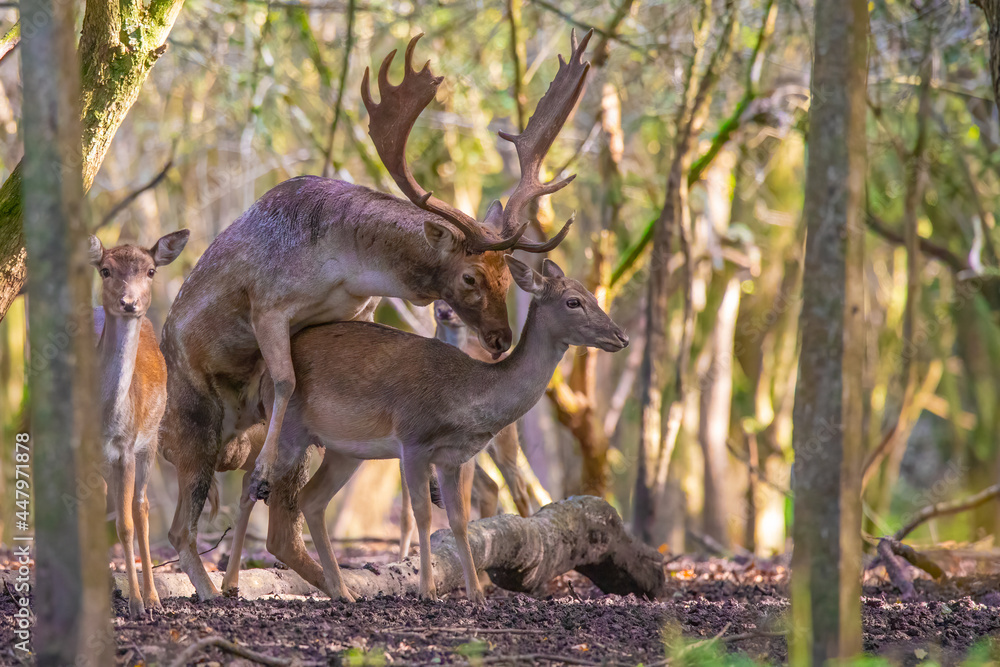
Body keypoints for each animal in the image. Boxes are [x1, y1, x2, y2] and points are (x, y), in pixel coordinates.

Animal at [89, 230, 190, 619]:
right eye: (105, 269)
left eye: (149, 271)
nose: (129, 302)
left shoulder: (127, 448)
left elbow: (127, 523)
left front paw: (135, 602)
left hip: (151, 441)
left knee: (141, 508)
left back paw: (152, 598)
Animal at [158, 29, 593, 601]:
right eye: (470, 278)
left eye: (507, 278)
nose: (500, 339)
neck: (345, 263)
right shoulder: (267, 302)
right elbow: (284, 379)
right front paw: (262, 471)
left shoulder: (355, 312)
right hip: (193, 420)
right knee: (181, 524)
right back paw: (215, 586)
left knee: (282, 527)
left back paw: (338, 584)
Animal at [256, 256, 627, 604]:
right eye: (573, 301)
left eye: (592, 294)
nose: (620, 335)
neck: (465, 395)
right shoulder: (413, 440)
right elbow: (422, 514)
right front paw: (428, 590)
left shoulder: (452, 458)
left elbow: (459, 519)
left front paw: (476, 595)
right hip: (289, 430)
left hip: (345, 450)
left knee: (311, 499)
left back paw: (342, 591)